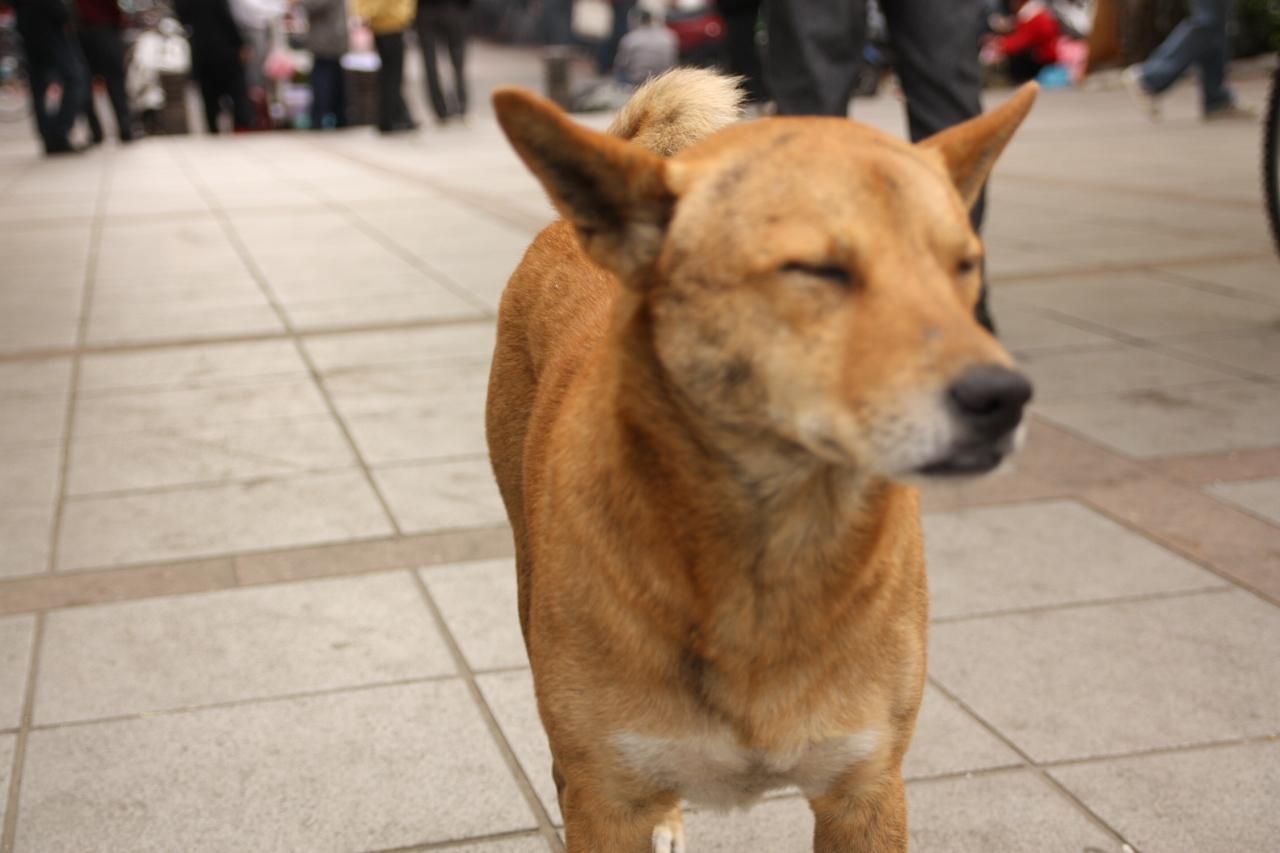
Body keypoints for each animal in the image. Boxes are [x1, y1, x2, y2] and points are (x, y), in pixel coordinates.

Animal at [486, 69, 1037, 852]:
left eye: (964, 266)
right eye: (817, 269)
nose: (1004, 396)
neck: (767, 559)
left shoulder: (865, 792)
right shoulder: (606, 798)